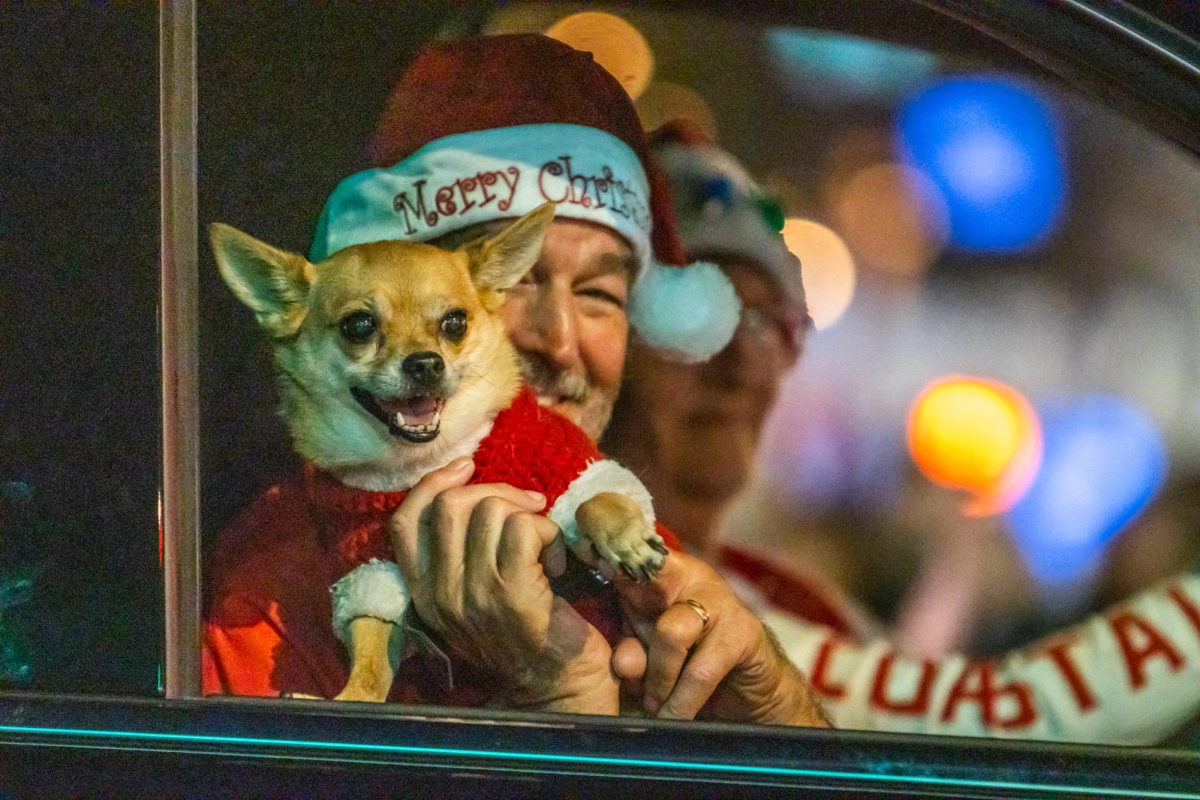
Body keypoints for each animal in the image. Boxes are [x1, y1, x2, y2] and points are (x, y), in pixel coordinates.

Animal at [212, 203, 672, 705]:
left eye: (455, 323)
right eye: (359, 325)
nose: (426, 362)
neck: (427, 459)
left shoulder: (562, 465)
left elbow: (593, 498)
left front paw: (626, 538)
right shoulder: (372, 566)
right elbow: (371, 647)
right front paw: (354, 696)